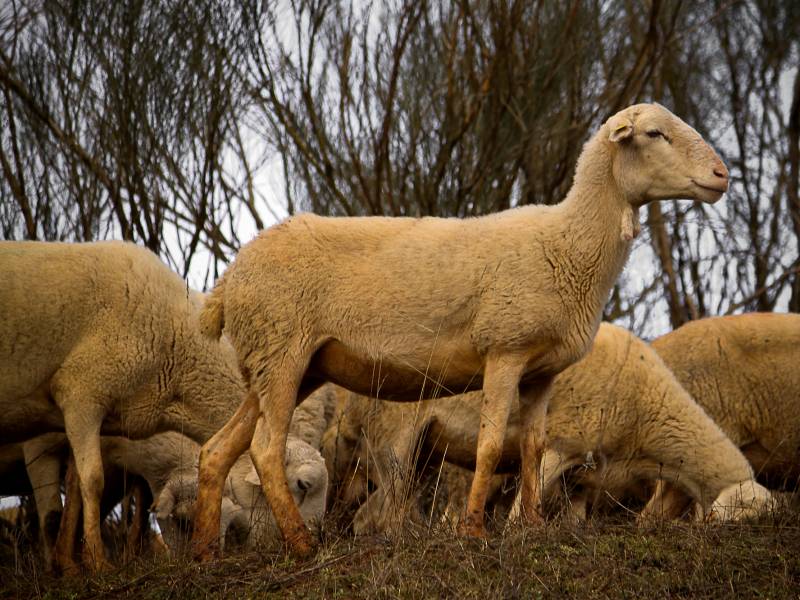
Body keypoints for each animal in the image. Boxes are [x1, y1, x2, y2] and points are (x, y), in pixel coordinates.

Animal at [0, 240, 253, 572]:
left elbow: (79, 487)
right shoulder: (80, 393)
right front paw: (96, 563)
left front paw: (70, 563)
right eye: (184, 522)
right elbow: (90, 482)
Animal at [322, 324, 772, 536]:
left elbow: (573, 520)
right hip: (394, 440)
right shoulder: (560, 444)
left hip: (423, 453)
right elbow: (527, 501)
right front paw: (518, 534)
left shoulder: (585, 477)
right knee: (380, 515)